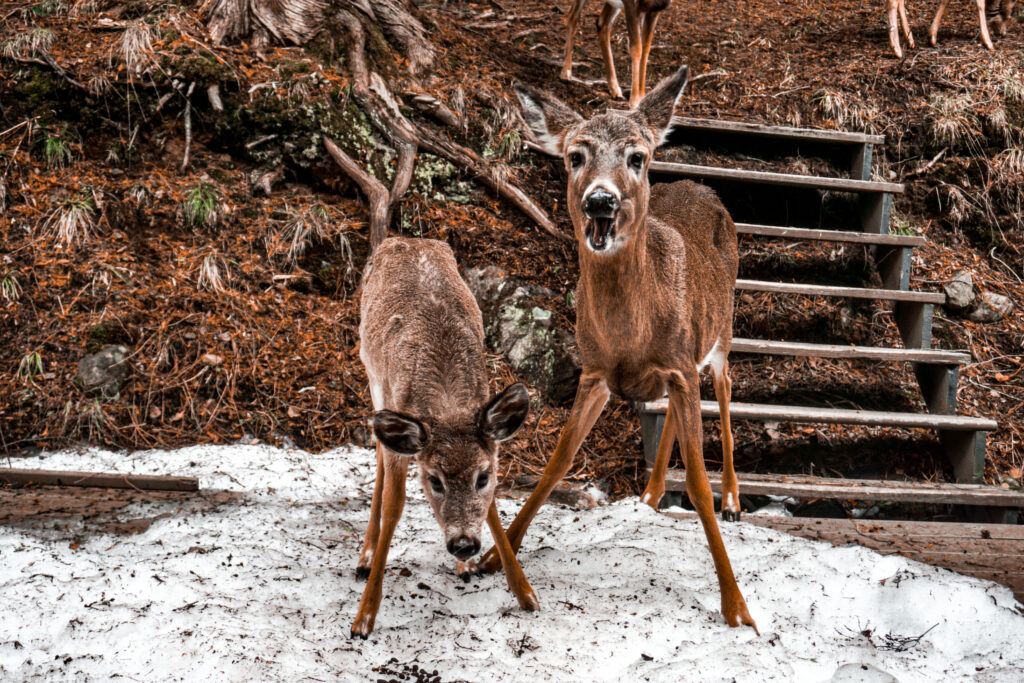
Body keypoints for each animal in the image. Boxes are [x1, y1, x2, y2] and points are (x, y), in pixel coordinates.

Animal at [351, 236, 540, 638]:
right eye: (433, 481)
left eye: (483, 477)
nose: (464, 545)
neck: (448, 406)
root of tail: (403, 238)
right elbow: (394, 505)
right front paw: (365, 616)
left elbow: (493, 509)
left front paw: (525, 592)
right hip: (373, 376)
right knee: (378, 455)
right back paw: (365, 557)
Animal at [476, 66, 758, 632]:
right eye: (574, 155)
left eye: (637, 156)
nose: (600, 202)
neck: (630, 334)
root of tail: (701, 185)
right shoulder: (596, 371)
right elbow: (558, 461)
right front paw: (498, 556)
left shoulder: (680, 365)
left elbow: (698, 483)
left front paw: (737, 607)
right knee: (674, 413)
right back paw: (649, 494)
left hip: (721, 331)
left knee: (725, 388)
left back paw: (734, 499)